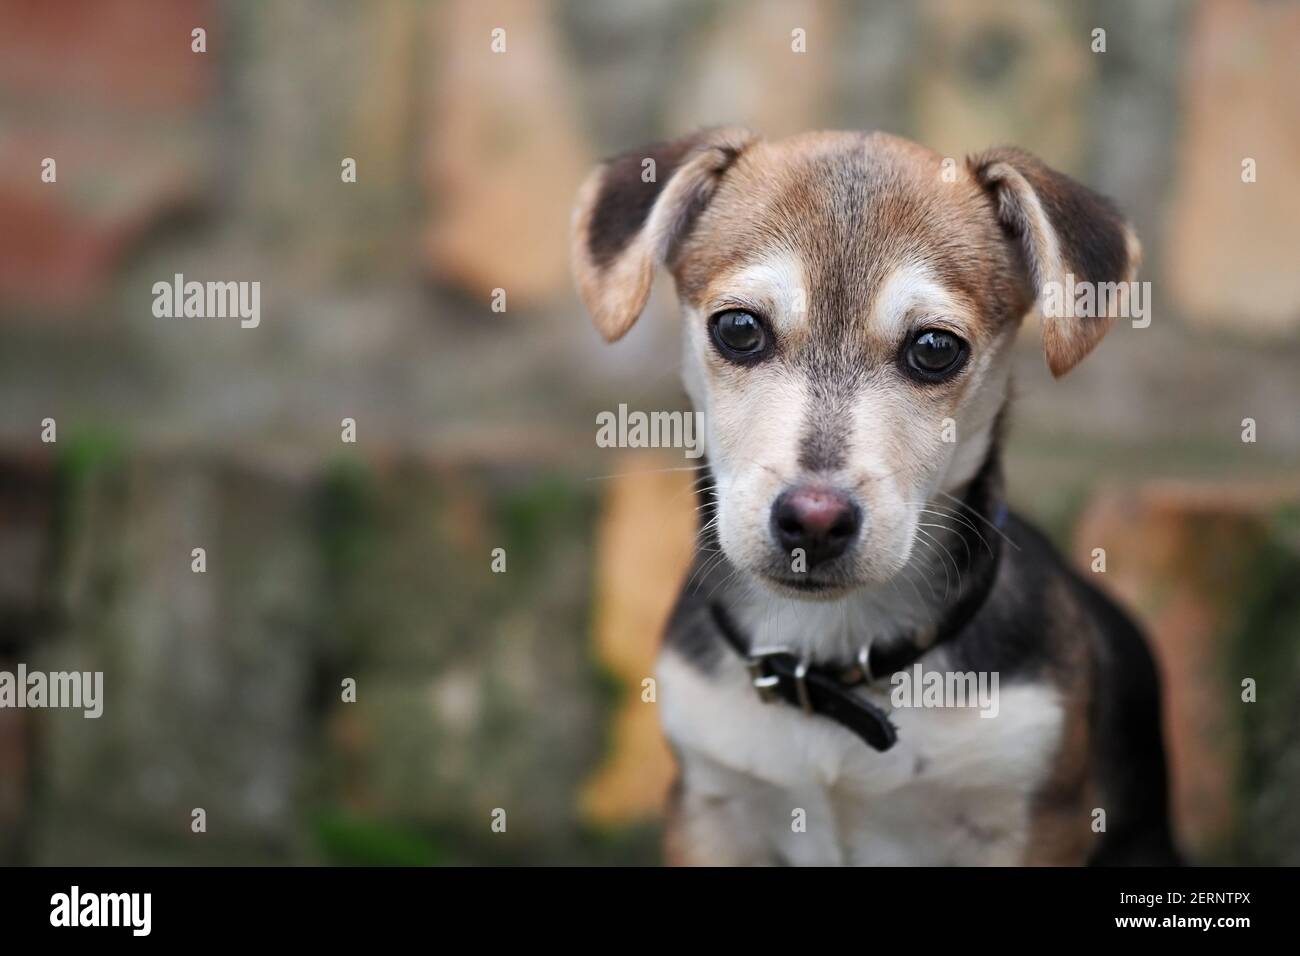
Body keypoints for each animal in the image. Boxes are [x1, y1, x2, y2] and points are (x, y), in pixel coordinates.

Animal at [569, 128, 1180, 868]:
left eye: (935, 348)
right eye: (738, 329)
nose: (813, 521)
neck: (833, 660)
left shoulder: (1031, 819)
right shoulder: (710, 808)